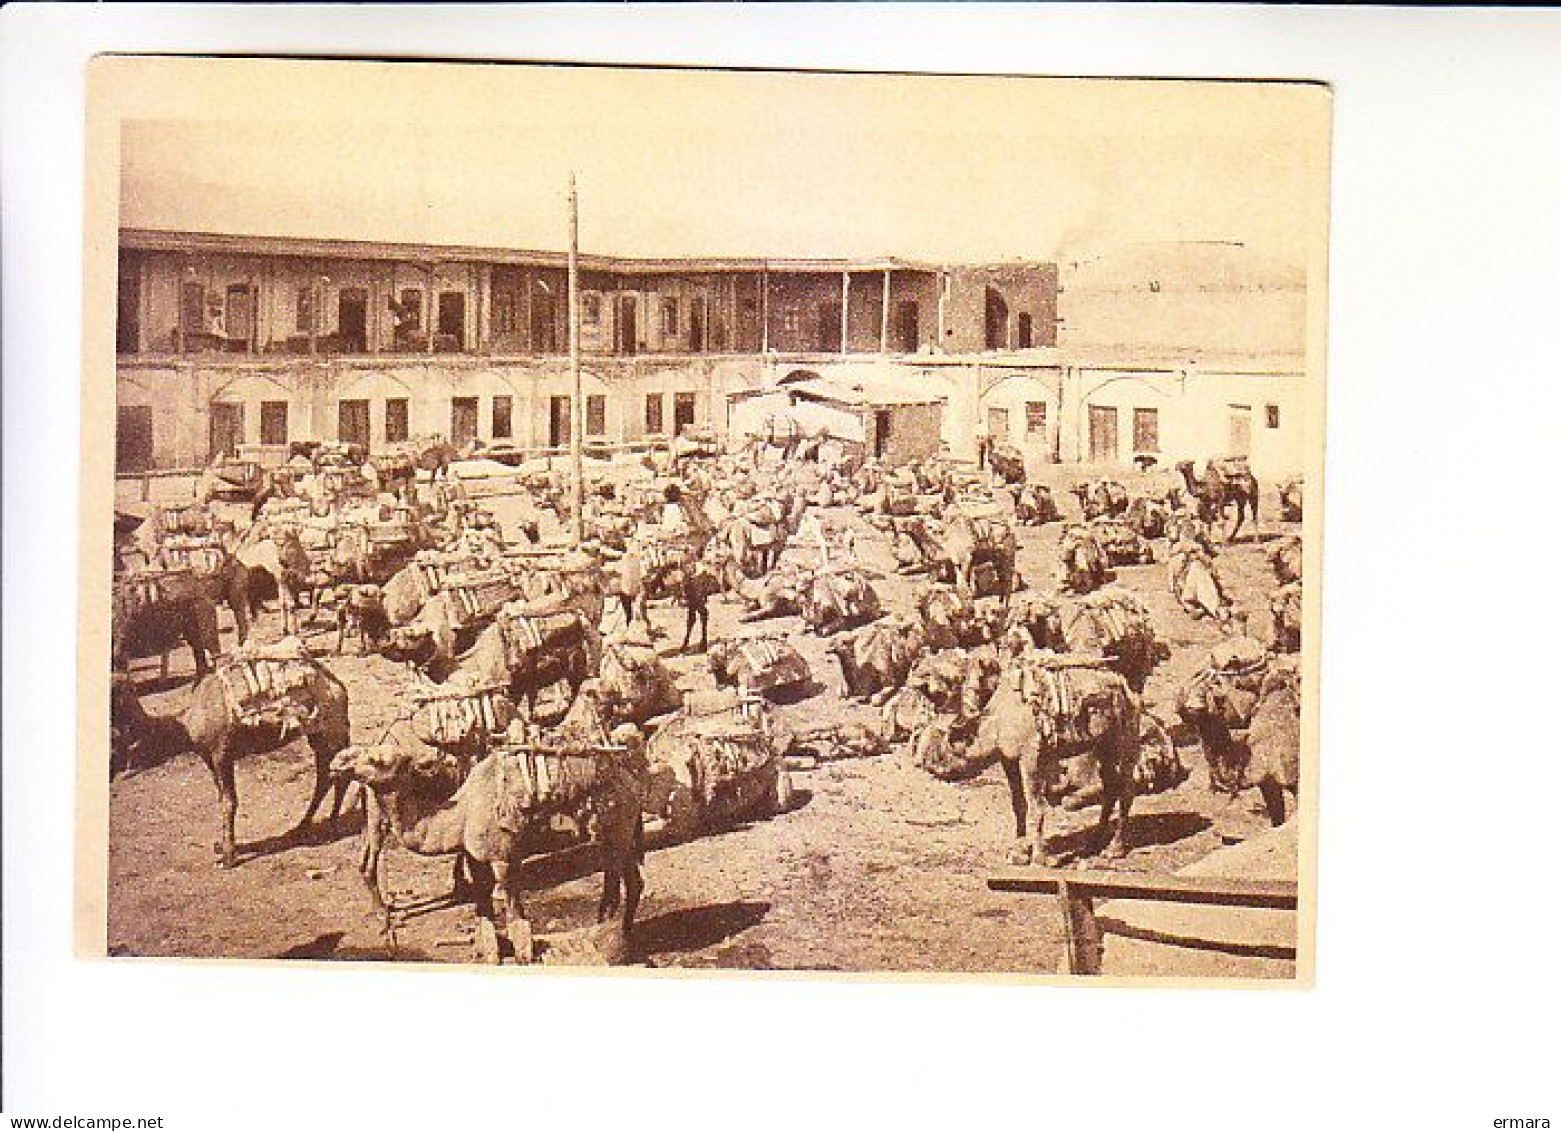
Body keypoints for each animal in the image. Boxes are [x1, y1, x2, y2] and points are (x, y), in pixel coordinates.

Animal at [332, 733, 643, 960]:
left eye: (378, 760)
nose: (338, 763)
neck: (463, 813)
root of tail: (630, 781)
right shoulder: (475, 857)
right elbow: (484, 910)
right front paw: (489, 950)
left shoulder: (504, 858)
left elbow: (515, 914)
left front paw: (523, 954)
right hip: (620, 832)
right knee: (628, 879)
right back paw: (622, 931)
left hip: (617, 827)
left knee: (617, 878)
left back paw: (611, 934)